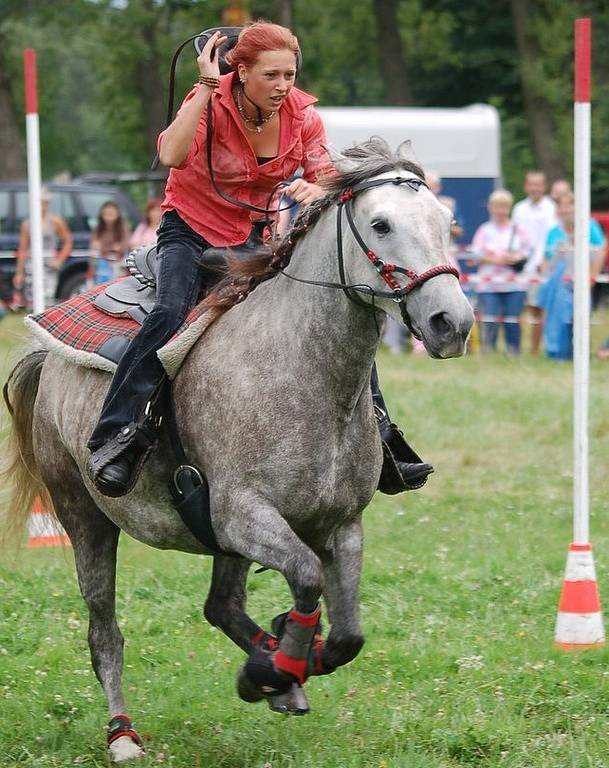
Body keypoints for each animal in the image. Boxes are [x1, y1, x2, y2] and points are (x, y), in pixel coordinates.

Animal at [2, 140, 472, 760]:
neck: (300, 368)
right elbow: (306, 579)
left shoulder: (340, 525)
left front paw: (283, 663)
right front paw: (270, 669)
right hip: (86, 517)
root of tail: (48, 353)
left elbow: (347, 635)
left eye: (446, 222)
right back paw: (124, 734)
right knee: (105, 632)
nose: (452, 322)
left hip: (216, 537)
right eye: (381, 224)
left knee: (221, 605)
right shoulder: (245, 515)